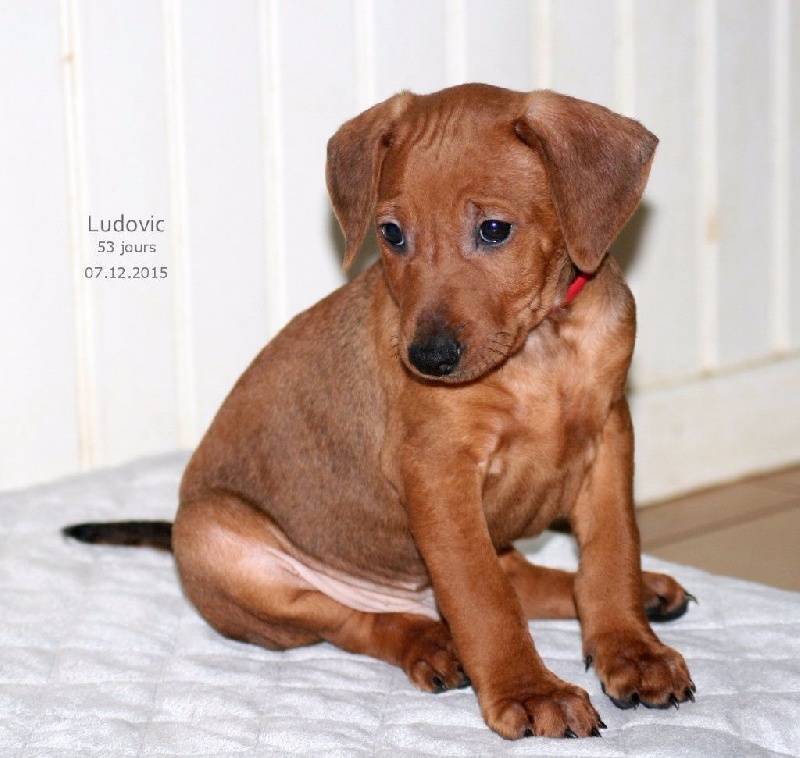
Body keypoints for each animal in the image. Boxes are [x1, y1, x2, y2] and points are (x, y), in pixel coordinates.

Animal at [64, 83, 695, 740]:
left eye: (495, 229)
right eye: (391, 234)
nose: (427, 359)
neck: (542, 346)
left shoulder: (608, 438)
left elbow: (612, 555)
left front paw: (633, 650)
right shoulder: (439, 472)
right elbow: (482, 599)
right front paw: (530, 690)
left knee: (520, 579)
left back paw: (647, 591)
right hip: (217, 540)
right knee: (359, 621)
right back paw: (430, 643)